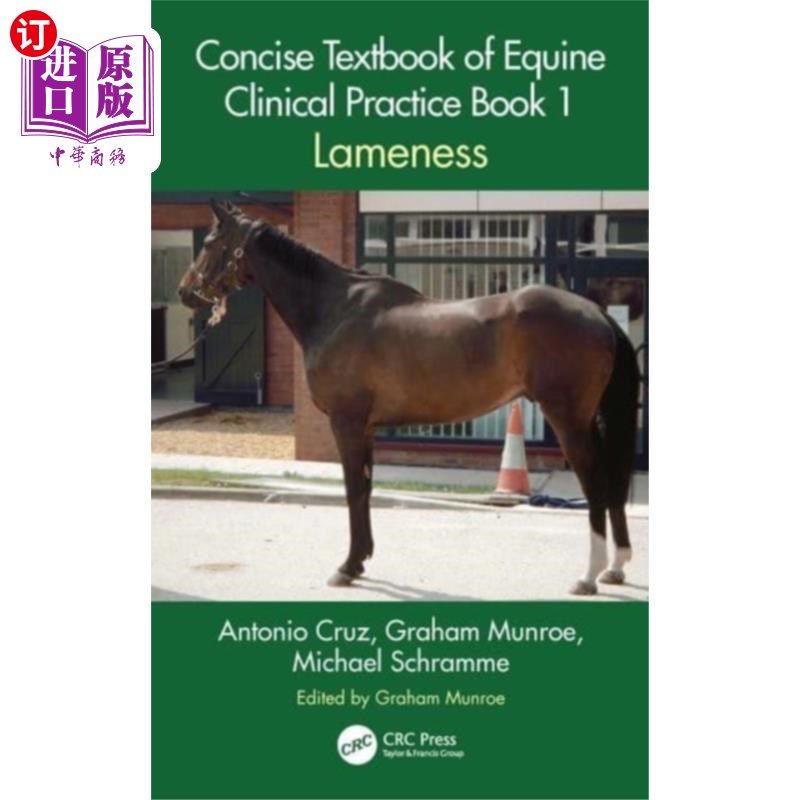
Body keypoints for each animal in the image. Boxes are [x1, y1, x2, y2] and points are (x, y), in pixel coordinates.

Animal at [178, 200, 640, 595]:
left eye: (209, 242)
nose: (185, 291)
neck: (334, 309)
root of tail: (597, 312)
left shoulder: (345, 423)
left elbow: (352, 490)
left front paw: (347, 566)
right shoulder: (364, 428)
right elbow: (365, 489)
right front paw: (361, 561)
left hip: (568, 420)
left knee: (596, 483)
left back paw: (588, 576)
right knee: (612, 483)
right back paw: (615, 567)